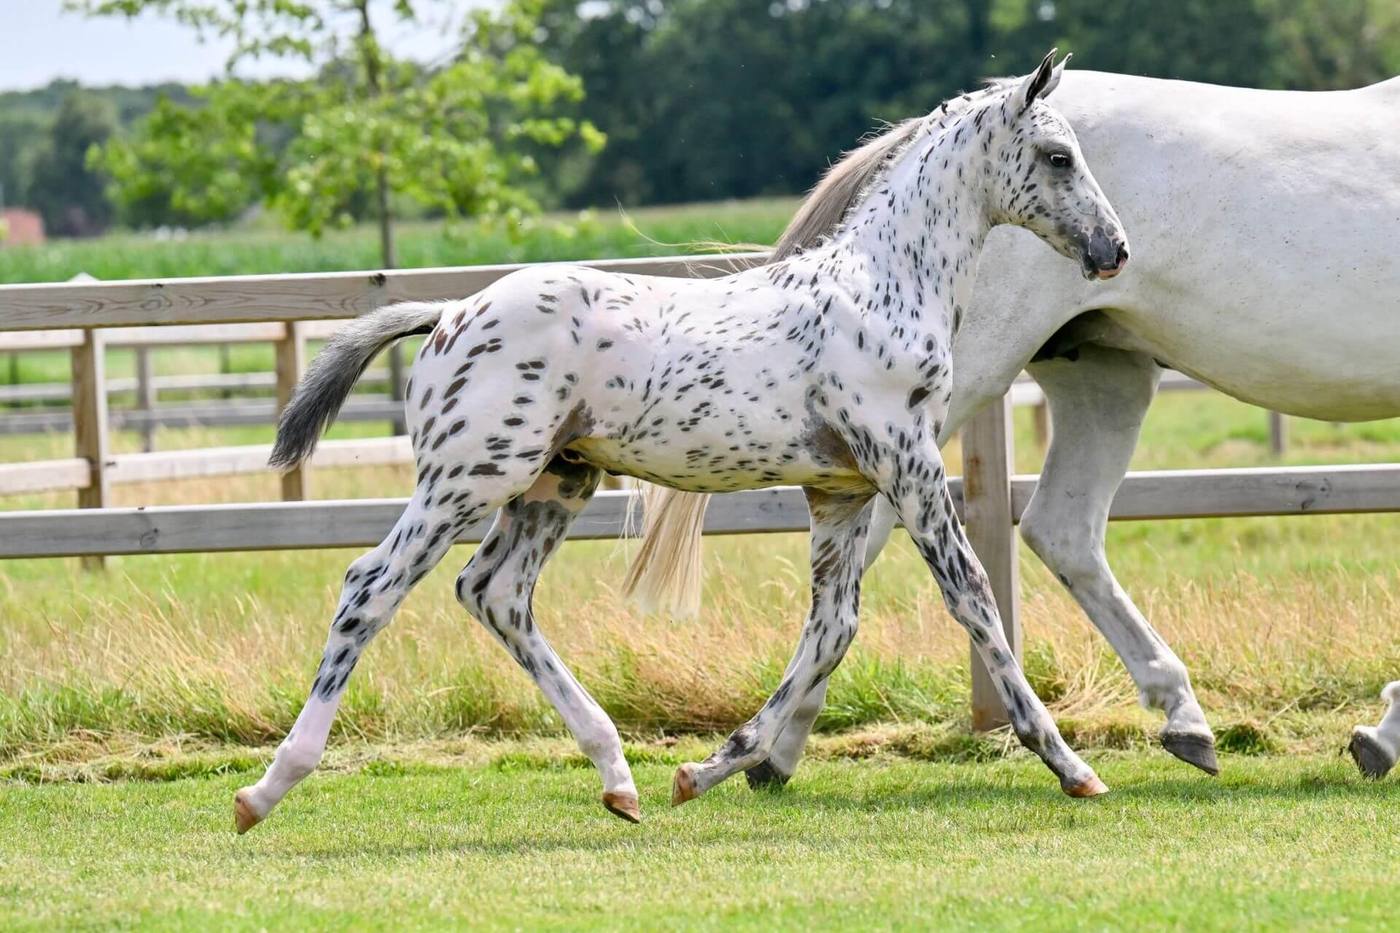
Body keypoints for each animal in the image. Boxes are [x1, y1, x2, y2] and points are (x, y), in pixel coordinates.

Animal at [231, 51, 1129, 833]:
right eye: (1057, 156)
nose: (1113, 249)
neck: (882, 287)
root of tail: (448, 314)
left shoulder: (841, 493)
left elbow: (831, 630)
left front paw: (704, 769)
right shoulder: (906, 466)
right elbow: (973, 598)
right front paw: (1072, 765)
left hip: (555, 483)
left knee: (495, 593)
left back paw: (618, 777)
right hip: (469, 478)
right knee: (369, 587)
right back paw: (265, 789)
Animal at [627, 68, 1400, 789]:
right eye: (1058, 159)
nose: (1115, 247)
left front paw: (1379, 736)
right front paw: (1382, 734)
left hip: (1103, 379)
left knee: (1056, 532)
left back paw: (1184, 719)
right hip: (942, 404)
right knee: (874, 560)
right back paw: (773, 749)